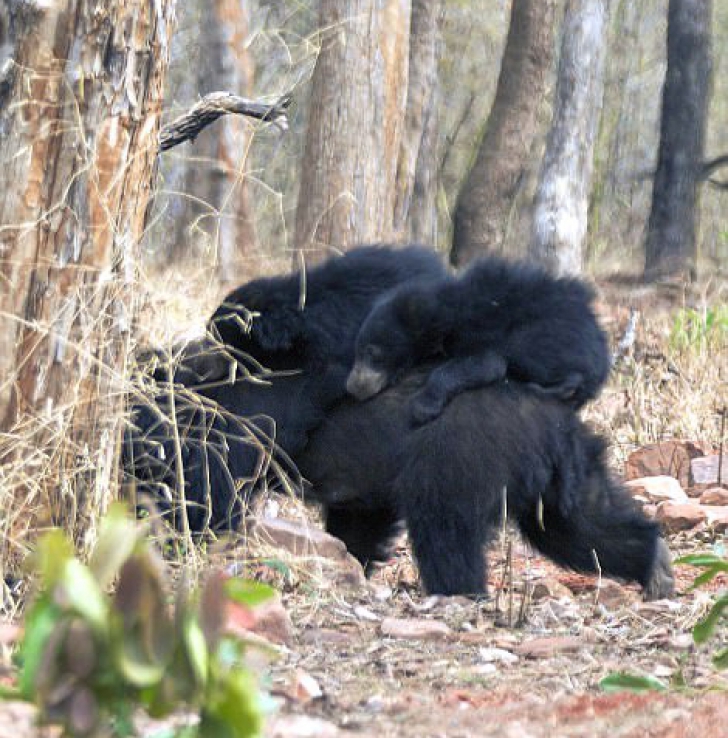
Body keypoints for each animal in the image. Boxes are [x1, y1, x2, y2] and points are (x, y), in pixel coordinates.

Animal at [298, 370, 672, 600]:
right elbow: (359, 522)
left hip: (459, 456)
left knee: (444, 531)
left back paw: (458, 592)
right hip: (568, 472)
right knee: (577, 526)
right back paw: (656, 566)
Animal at [346, 256, 608, 422]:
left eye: (372, 352)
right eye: (356, 350)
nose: (351, 387)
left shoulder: (477, 332)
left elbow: (486, 364)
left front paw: (423, 407)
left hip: (545, 337)